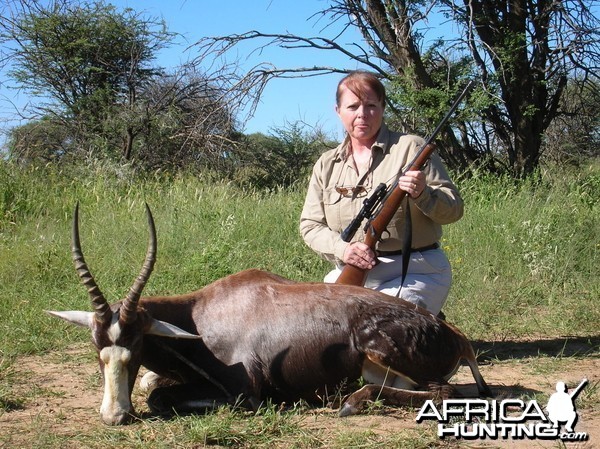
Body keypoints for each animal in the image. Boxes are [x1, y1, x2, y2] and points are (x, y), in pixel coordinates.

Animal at [49, 203, 492, 424]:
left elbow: (159, 397)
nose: (114, 417)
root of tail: (454, 335)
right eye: (97, 346)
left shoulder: (244, 392)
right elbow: (150, 384)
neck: (202, 314)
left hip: (382, 354)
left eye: (138, 343)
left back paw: (350, 403)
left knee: (442, 393)